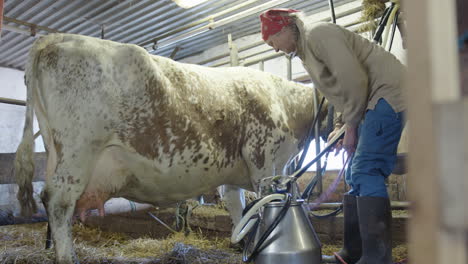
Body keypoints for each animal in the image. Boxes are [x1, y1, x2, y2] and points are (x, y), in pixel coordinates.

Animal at [15, 33, 330, 264]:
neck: (284, 102)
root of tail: (58, 37)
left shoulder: (237, 170)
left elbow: (237, 205)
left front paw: (240, 241)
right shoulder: (263, 157)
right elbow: (262, 200)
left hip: (57, 152)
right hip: (78, 150)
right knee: (58, 202)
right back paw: (68, 257)